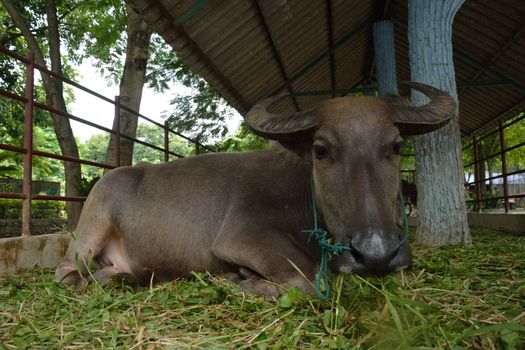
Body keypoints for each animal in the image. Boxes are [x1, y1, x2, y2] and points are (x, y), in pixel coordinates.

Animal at [56, 82, 454, 296]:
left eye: (396, 146)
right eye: (320, 150)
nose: (376, 252)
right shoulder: (240, 237)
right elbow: (307, 278)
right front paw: (243, 279)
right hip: (89, 229)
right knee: (67, 273)